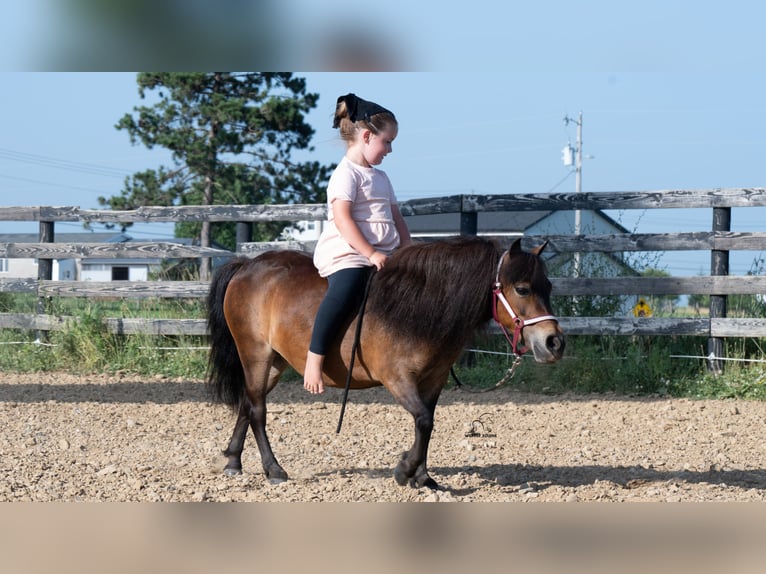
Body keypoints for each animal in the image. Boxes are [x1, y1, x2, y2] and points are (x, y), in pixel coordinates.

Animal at [206, 235, 565, 490]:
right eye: (522, 288)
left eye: (548, 286)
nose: (555, 343)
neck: (418, 307)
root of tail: (247, 265)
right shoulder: (397, 378)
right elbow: (423, 421)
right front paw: (405, 470)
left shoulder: (433, 381)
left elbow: (427, 424)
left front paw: (423, 476)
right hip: (255, 354)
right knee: (258, 410)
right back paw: (273, 469)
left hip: (275, 362)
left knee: (248, 402)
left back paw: (233, 462)